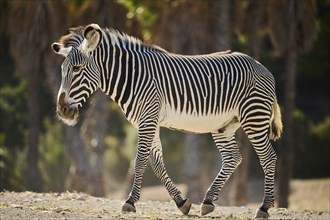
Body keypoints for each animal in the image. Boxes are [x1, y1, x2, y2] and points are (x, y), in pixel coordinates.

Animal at [52, 24, 284, 218]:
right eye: (62, 70)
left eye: (77, 69)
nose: (62, 111)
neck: (132, 76)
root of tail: (262, 66)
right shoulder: (148, 121)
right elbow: (156, 163)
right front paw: (182, 202)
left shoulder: (148, 119)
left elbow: (140, 161)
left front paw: (130, 202)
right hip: (224, 126)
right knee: (232, 158)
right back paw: (208, 201)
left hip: (254, 116)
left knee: (268, 158)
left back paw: (264, 208)